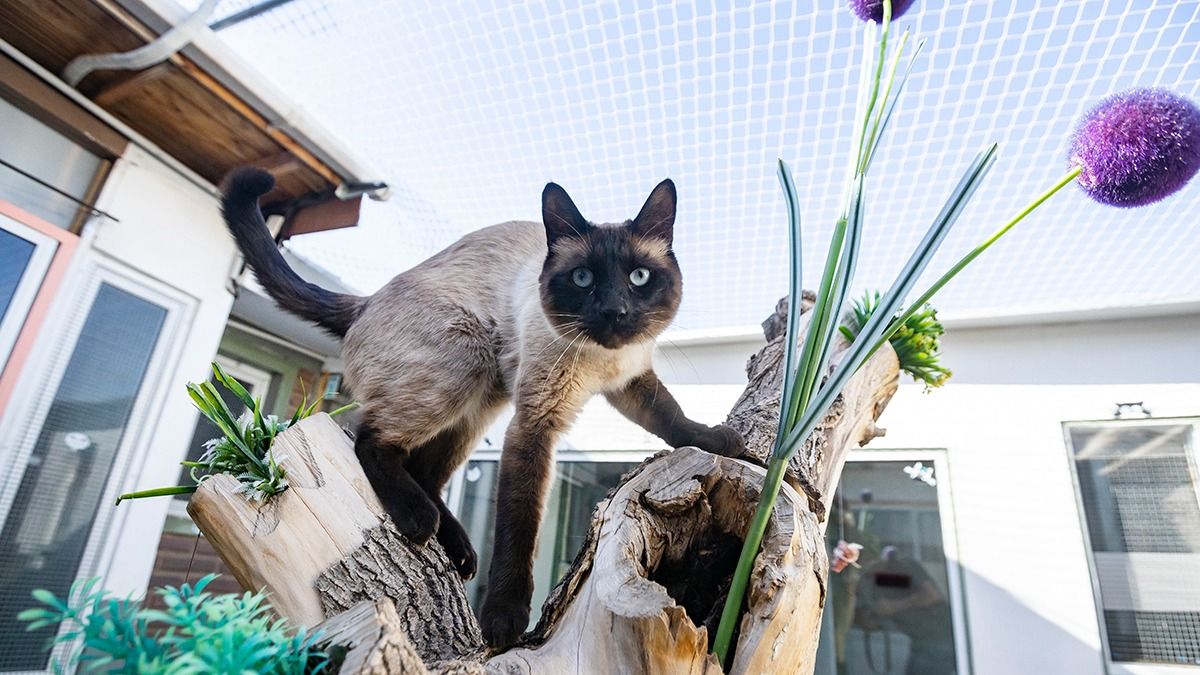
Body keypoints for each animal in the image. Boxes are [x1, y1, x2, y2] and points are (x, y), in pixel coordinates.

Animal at [220, 165, 744, 643]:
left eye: (638, 277)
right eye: (582, 278)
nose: (615, 311)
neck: (602, 361)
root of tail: (365, 302)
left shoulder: (630, 379)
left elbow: (671, 417)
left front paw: (720, 440)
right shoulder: (535, 425)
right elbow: (518, 528)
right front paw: (505, 619)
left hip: (483, 400)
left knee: (425, 472)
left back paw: (457, 548)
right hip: (467, 360)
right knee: (369, 438)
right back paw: (420, 520)